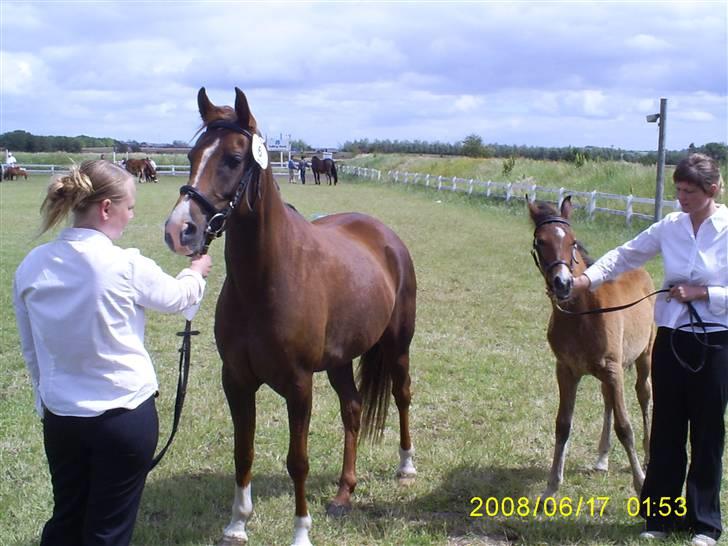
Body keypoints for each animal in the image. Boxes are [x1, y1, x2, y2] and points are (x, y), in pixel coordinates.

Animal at [164, 86, 416, 544]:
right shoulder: (237, 380)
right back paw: (343, 493)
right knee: (353, 409)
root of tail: (385, 236)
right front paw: (237, 524)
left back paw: (406, 466)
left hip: (398, 345)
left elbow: (297, 460)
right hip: (339, 360)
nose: (180, 230)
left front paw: (300, 531)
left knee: (402, 394)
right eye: (191, 155)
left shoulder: (299, 386)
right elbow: (242, 451)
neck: (265, 281)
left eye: (233, 158)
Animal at [528, 197, 656, 498]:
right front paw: (551, 486)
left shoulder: (613, 370)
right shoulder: (566, 370)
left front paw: (640, 483)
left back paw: (647, 457)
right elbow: (563, 424)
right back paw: (601, 459)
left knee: (644, 395)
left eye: (573, 241)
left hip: (644, 356)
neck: (582, 314)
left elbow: (625, 427)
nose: (562, 284)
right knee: (608, 400)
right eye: (540, 242)